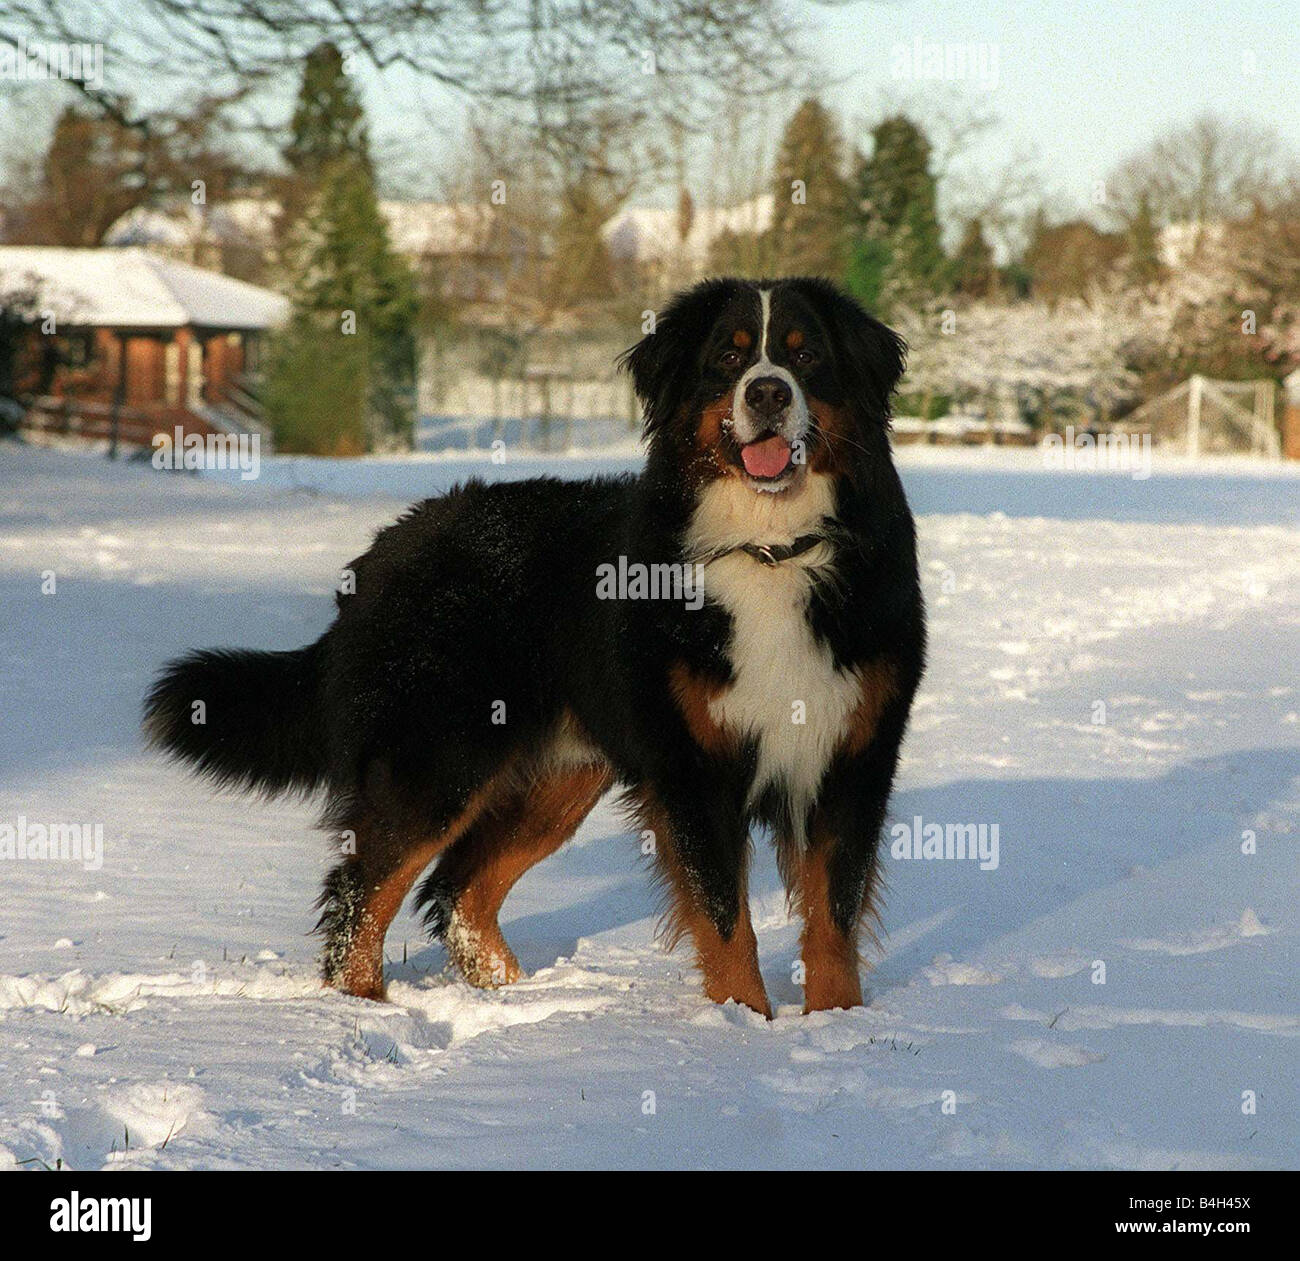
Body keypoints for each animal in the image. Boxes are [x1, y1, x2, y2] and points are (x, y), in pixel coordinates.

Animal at [144, 275, 925, 1013]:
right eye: (729, 357)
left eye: (805, 354)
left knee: (459, 892)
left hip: (556, 775)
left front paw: (839, 1026)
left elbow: (833, 915)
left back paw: (515, 1001)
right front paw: (741, 1024)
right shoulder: (692, 767)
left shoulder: (852, 753)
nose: (767, 390)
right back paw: (365, 1008)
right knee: (361, 892)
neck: (771, 549)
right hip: (440, 757)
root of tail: (387, 547)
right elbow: (725, 916)